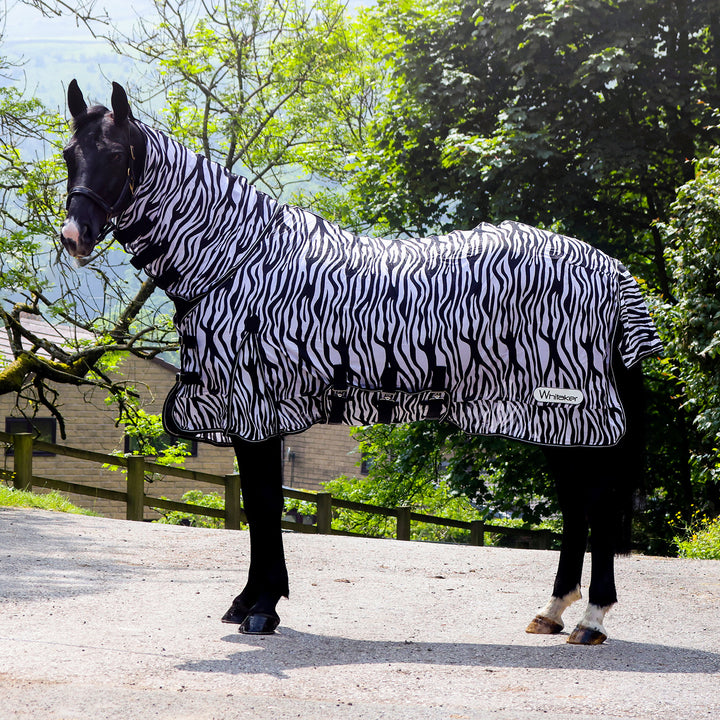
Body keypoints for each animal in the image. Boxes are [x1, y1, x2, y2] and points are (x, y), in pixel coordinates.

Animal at [61, 81, 662, 644]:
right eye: (70, 153)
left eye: (114, 154)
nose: (74, 236)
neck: (238, 259)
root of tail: (614, 274)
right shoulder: (251, 415)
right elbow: (258, 504)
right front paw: (250, 601)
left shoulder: (257, 410)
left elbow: (264, 504)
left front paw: (262, 607)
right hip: (557, 420)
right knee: (577, 508)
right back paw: (553, 611)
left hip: (576, 411)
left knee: (598, 506)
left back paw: (592, 618)